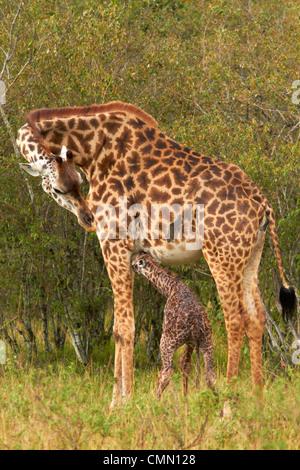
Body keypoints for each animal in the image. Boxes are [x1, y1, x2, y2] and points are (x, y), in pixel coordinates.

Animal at [132, 252, 217, 398]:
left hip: (167, 342)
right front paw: (185, 398)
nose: (131, 268)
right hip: (207, 342)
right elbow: (185, 365)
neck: (169, 287)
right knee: (209, 374)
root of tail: (195, 326)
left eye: (134, 264)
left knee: (166, 371)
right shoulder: (190, 342)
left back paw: (156, 400)